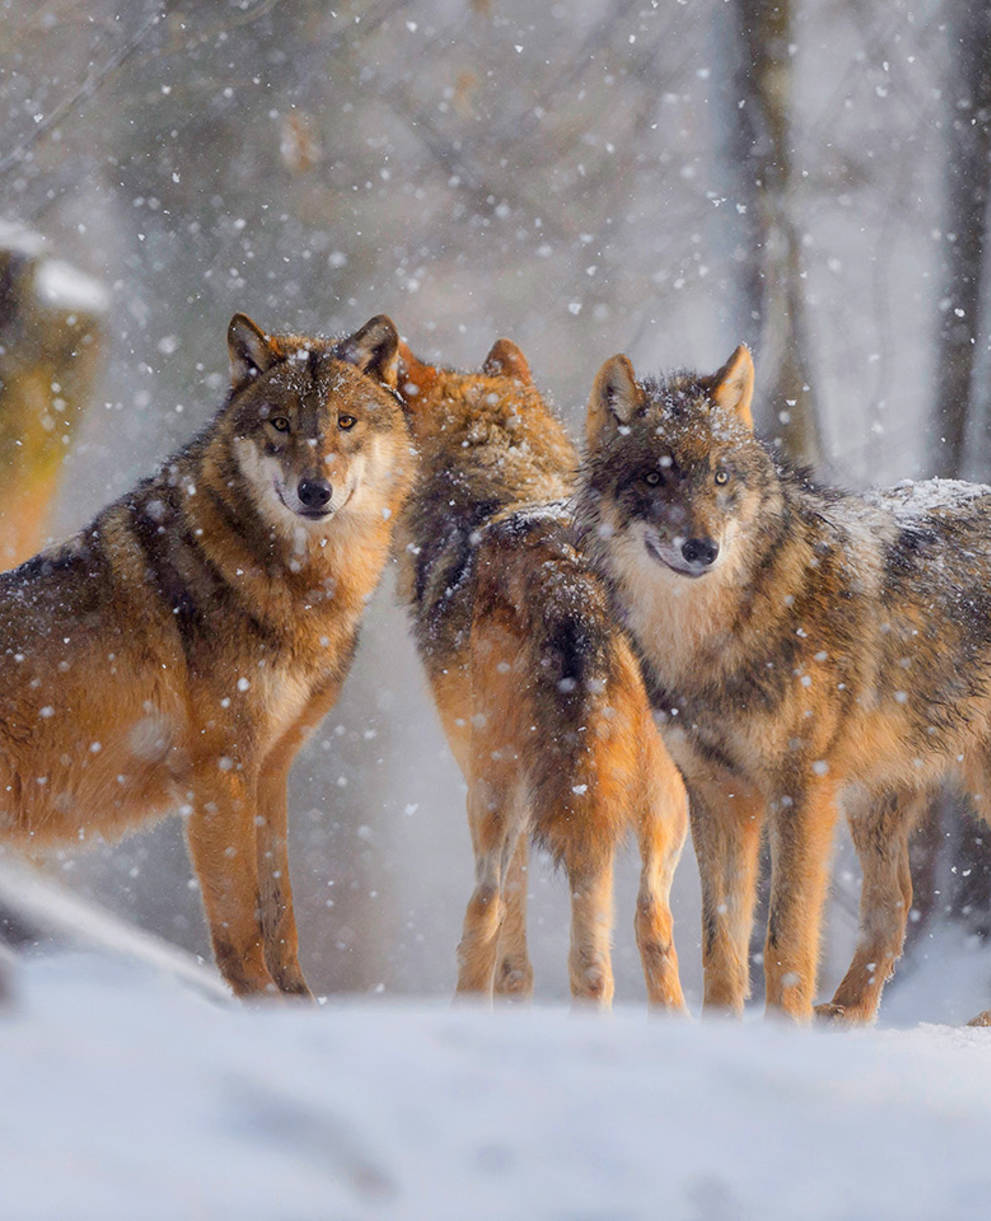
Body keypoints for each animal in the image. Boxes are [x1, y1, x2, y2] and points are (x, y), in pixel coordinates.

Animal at [0, 315, 412, 1001]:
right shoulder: (219, 771)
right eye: (280, 423)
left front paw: (300, 1007)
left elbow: (281, 915)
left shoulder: (271, 768)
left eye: (345, 422)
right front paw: (259, 1005)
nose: (315, 490)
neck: (298, 583)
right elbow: (239, 923)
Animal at [395, 336, 688, 1010]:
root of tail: (572, 583)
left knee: (497, 916)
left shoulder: (495, 783)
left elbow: (507, 943)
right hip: (662, 797)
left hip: (494, 789)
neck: (497, 492)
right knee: (651, 925)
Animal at [576, 349, 991, 1025]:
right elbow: (721, 940)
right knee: (894, 906)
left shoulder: (803, 791)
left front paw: (782, 1030)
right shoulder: (719, 795)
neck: (713, 642)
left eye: (721, 478)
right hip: (877, 799)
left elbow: (784, 938)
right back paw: (846, 1015)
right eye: (655, 480)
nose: (702, 549)